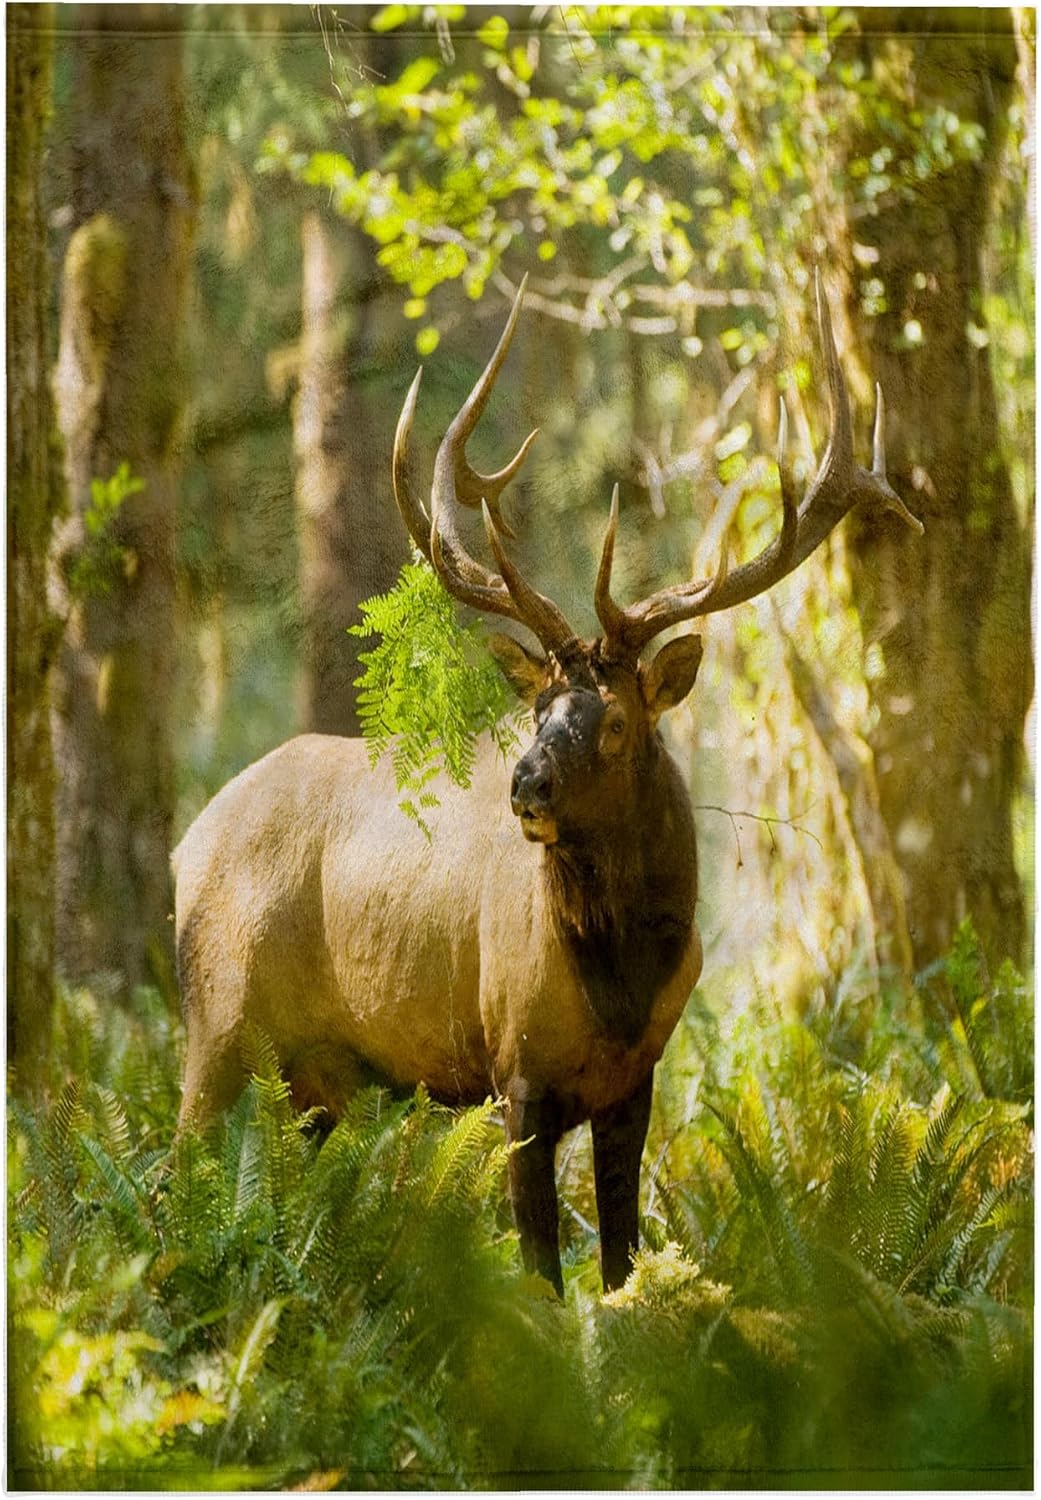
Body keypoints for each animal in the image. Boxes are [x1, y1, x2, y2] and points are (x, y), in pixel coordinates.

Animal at [174, 272, 921, 1296]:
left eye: (614, 723)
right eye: (535, 712)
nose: (524, 788)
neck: (620, 983)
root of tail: (187, 841)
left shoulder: (636, 1079)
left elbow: (619, 1255)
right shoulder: (513, 1068)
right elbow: (539, 1271)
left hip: (318, 1080)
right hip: (213, 1021)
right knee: (173, 1169)